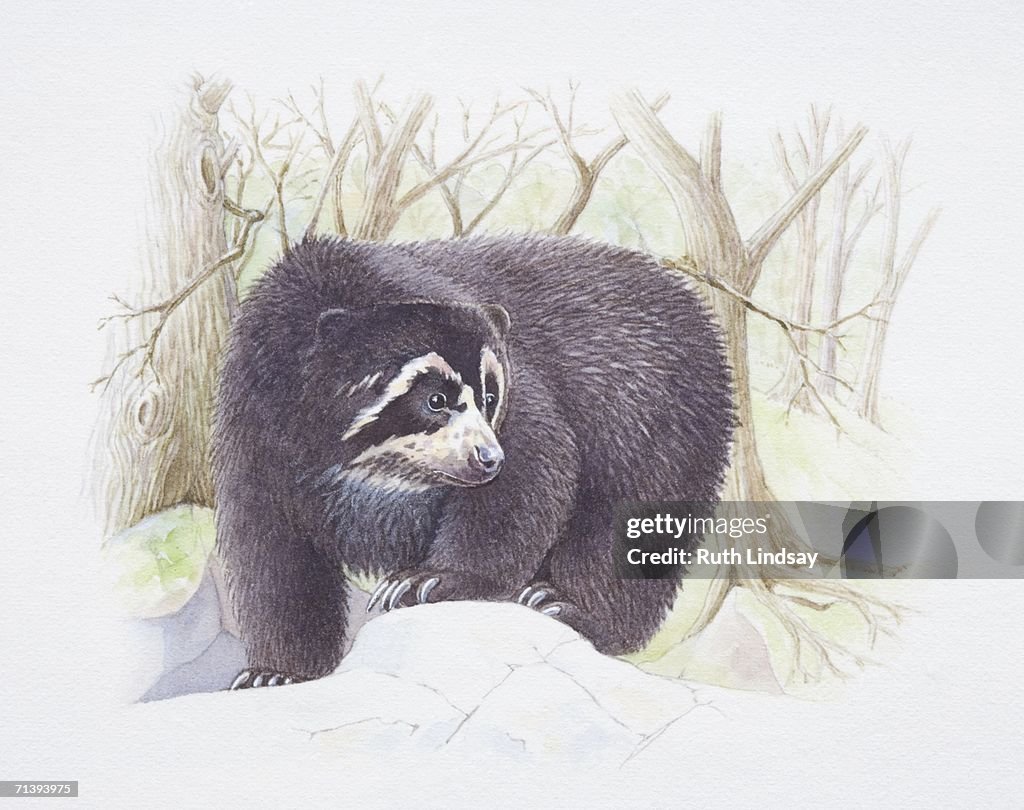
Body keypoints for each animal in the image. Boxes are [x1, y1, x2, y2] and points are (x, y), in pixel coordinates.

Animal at [213, 234, 733, 688]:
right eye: (435, 400)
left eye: (489, 396)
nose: (487, 459)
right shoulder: (257, 430)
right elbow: (273, 550)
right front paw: (275, 673)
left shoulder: (530, 392)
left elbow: (535, 463)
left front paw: (425, 581)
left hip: (656, 423)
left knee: (626, 527)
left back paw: (565, 605)